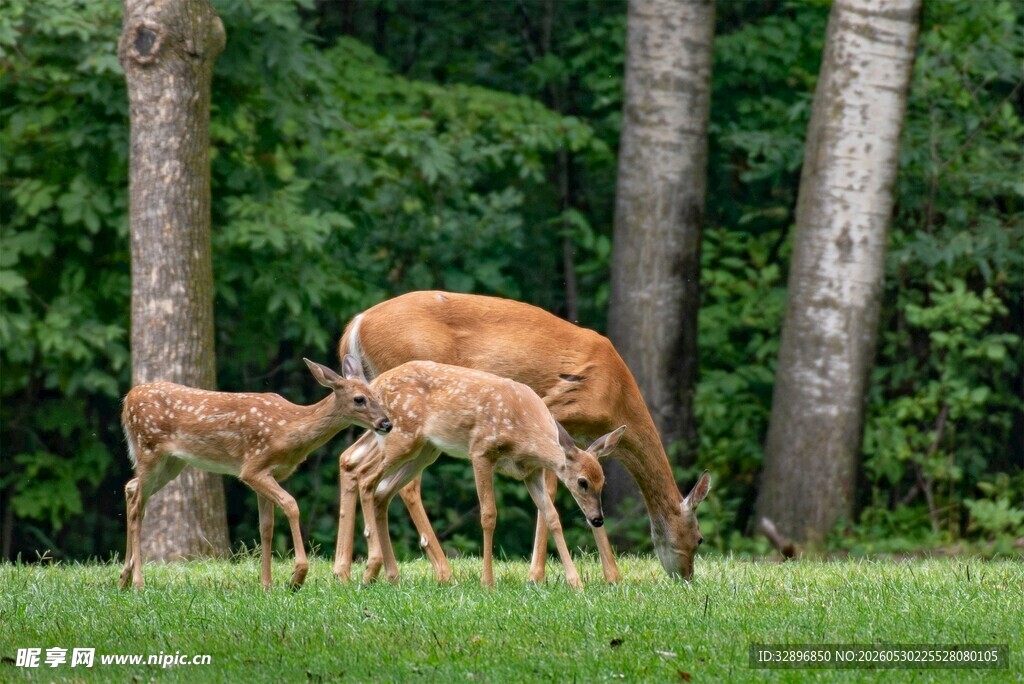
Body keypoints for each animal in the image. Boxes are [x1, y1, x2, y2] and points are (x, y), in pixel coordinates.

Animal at [119, 356, 391, 591]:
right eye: (359, 399)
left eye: (377, 395)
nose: (386, 423)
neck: (289, 428)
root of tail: (127, 400)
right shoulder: (252, 467)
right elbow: (291, 505)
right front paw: (297, 576)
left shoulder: (268, 474)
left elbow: (266, 527)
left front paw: (266, 585)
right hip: (149, 449)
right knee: (137, 506)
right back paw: (138, 583)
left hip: (172, 463)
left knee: (131, 488)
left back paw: (124, 578)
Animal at [352, 359, 624, 589]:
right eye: (582, 482)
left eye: (603, 481)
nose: (597, 519)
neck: (524, 433)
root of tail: (377, 383)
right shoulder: (481, 451)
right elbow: (488, 515)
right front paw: (487, 582)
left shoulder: (531, 472)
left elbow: (552, 517)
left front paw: (575, 583)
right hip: (401, 438)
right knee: (365, 476)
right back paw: (372, 567)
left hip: (424, 451)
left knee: (382, 492)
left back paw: (390, 576)